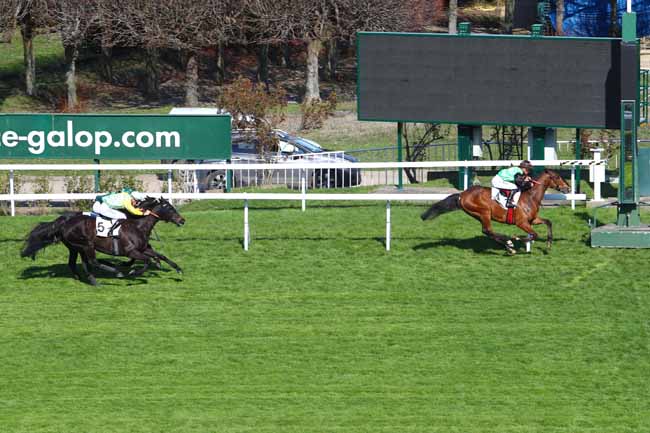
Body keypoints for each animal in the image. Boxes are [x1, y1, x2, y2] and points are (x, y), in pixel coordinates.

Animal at [21, 197, 185, 285]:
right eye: (169, 208)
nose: (182, 220)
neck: (137, 226)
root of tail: (64, 221)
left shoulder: (144, 248)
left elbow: (160, 255)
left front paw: (177, 268)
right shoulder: (131, 251)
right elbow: (146, 261)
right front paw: (133, 271)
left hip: (75, 247)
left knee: (76, 263)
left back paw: (86, 278)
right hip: (86, 245)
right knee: (93, 262)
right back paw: (114, 273)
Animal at [421, 169, 571, 254]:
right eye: (557, 177)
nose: (568, 188)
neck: (530, 196)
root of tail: (462, 194)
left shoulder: (532, 220)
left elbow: (548, 222)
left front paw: (549, 244)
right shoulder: (521, 223)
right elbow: (534, 234)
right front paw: (517, 239)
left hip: (479, 215)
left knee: (488, 232)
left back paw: (508, 245)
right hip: (484, 212)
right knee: (487, 230)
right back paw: (509, 244)